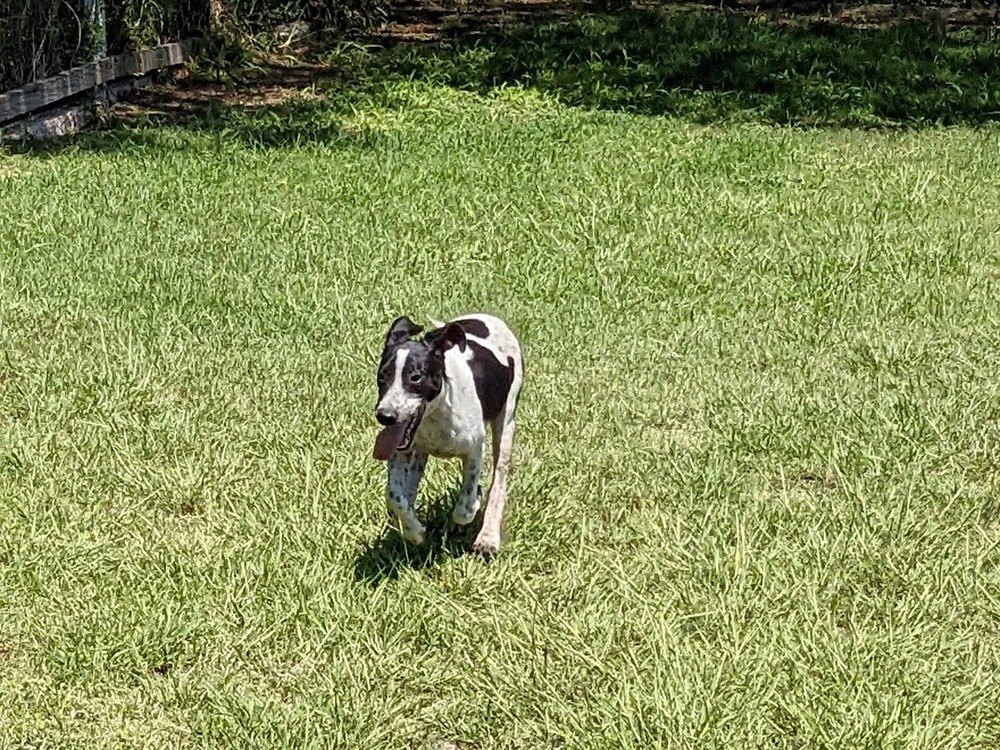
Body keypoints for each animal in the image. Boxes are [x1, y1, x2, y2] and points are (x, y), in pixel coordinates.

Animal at [370, 314, 524, 556]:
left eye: (415, 377)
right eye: (382, 375)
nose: (385, 416)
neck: (436, 413)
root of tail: (487, 317)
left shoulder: (474, 449)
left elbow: (465, 506)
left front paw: (472, 504)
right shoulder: (401, 450)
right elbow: (394, 496)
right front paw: (414, 531)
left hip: (506, 422)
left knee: (499, 482)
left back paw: (488, 538)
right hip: (418, 454)